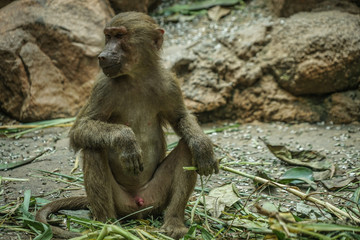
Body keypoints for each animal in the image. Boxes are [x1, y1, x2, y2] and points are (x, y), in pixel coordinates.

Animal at [35, 11, 218, 240]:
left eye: (120, 36)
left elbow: (180, 118)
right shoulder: (103, 86)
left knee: (186, 147)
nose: (102, 56)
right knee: (93, 148)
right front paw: (125, 140)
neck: (136, 76)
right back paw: (107, 226)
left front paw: (203, 146)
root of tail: (138, 204)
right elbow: (80, 129)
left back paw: (173, 222)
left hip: (156, 197)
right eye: (108, 36)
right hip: (120, 203)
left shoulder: (169, 83)